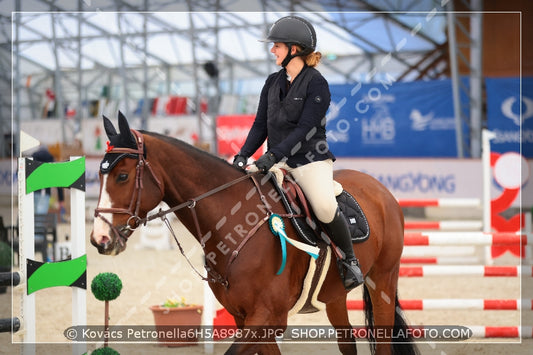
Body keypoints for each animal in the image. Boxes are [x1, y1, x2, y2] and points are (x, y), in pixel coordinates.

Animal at [90, 113, 416, 355]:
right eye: (99, 177)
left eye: (123, 176)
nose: (99, 239)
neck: (234, 224)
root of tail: (380, 189)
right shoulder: (246, 318)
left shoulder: (266, 318)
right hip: (334, 295)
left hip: (383, 280)